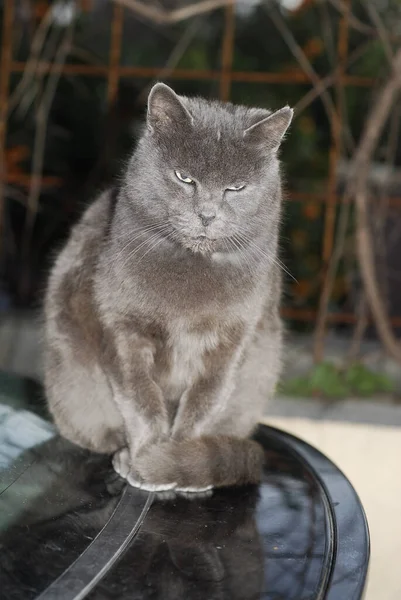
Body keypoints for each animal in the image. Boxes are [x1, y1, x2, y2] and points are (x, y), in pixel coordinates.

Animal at [43, 81, 292, 492]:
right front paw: (147, 458)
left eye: (236, 187)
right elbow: (140, 397)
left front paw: (178, 460)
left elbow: (205, 400)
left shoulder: (232, 340)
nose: (206, 214)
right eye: (184, 178)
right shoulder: (123, 328)